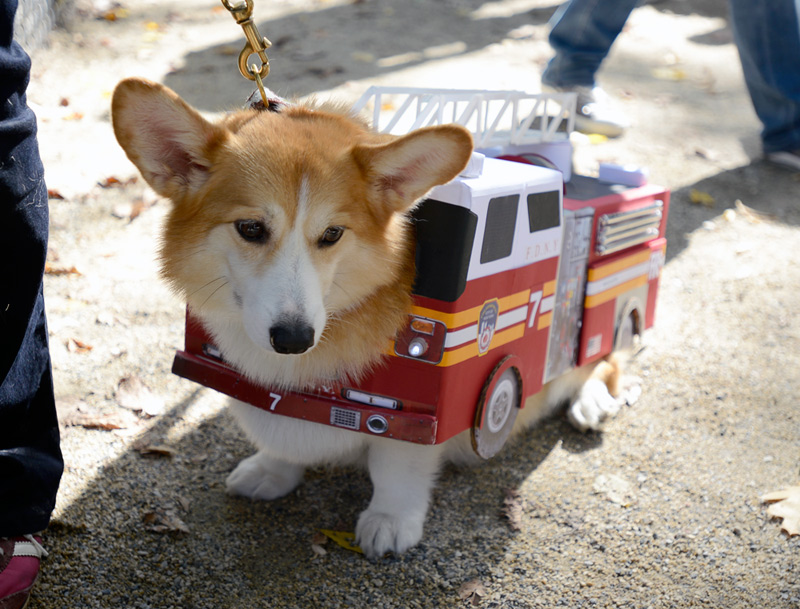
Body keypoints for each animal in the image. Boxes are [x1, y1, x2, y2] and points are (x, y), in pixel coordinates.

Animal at [111, 78, 624, 560]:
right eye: (250, 229)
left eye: (332, 234)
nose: (294, 339)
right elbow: (278, 436)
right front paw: (270, 472)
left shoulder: (419, 407)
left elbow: (397, 465)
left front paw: (391, 521)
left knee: (606, 353)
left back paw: (592, 401)